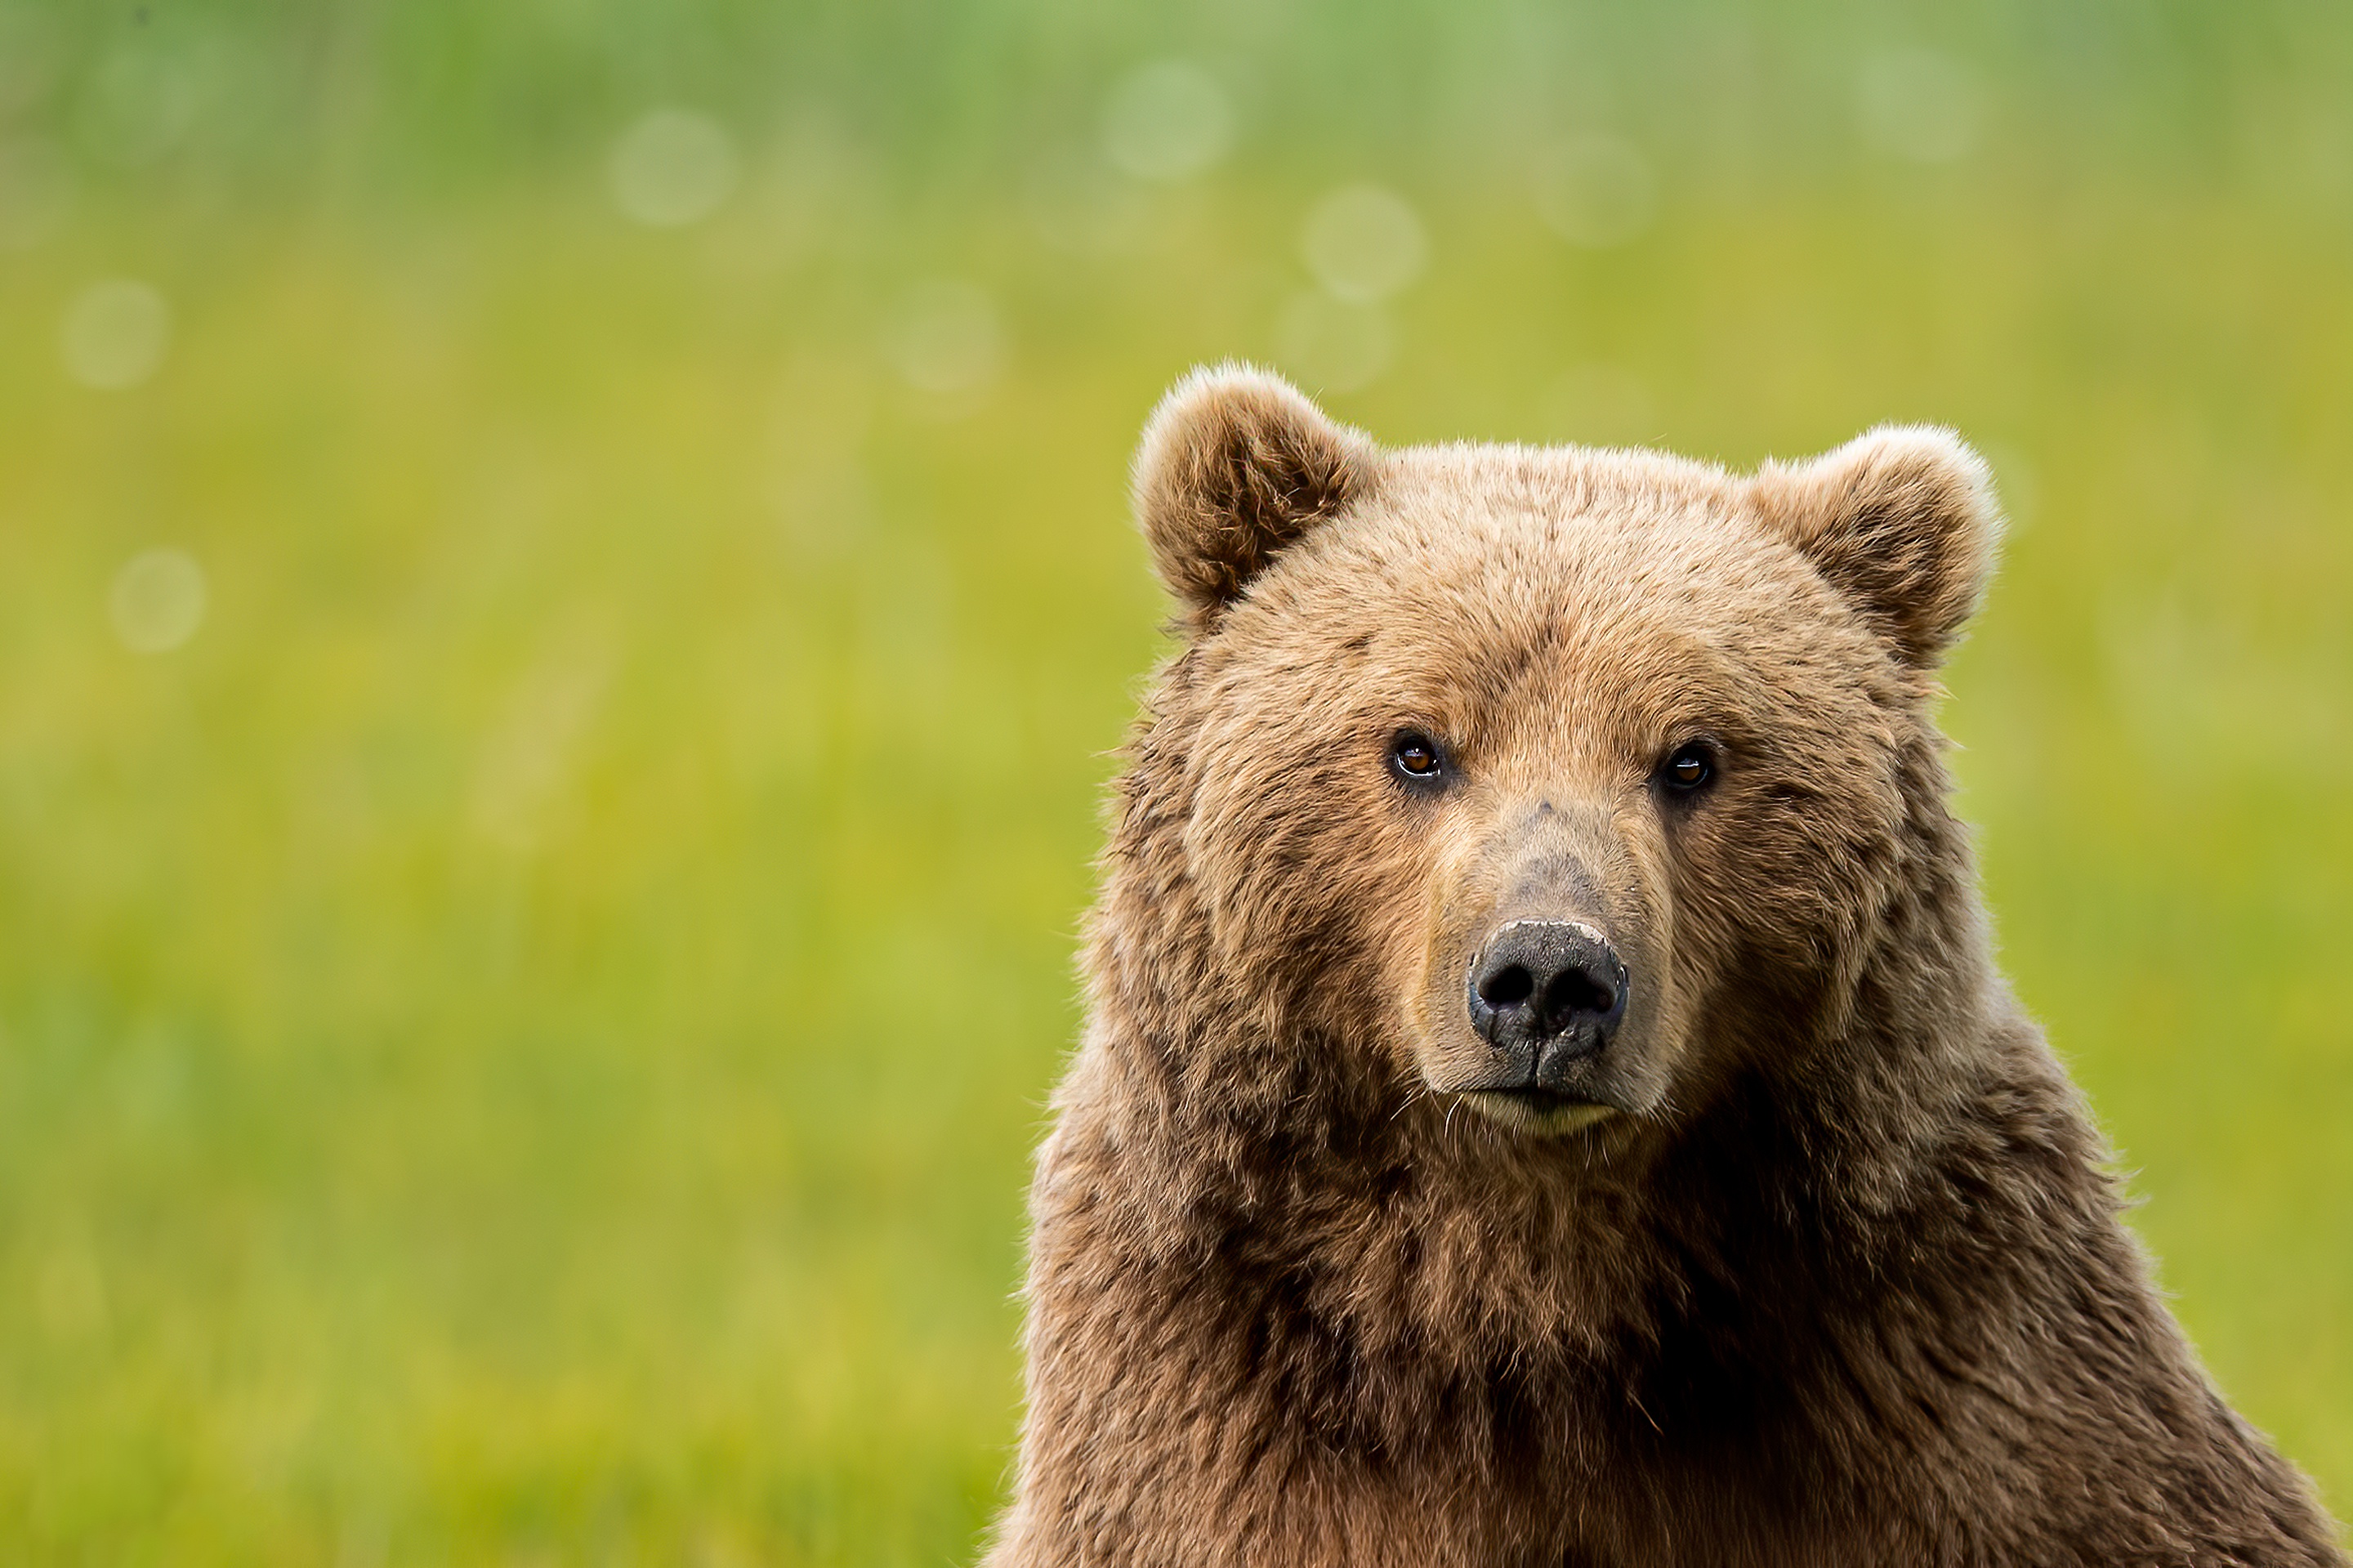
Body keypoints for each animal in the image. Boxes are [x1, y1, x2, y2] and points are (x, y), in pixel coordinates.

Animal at [983, 369, 2343, 1563]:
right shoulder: (1210, 1390)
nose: (1546, 978)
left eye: (1692, 756)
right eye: (1417, 744)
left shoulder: (1968, 1385)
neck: (1536, 1297)